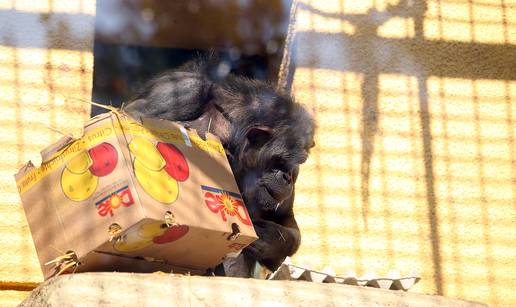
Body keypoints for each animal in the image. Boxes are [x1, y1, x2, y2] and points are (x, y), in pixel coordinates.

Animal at [123, 56, 314, 276]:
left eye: (296, 162)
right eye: (280, 160)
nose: (287, 177)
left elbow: (289, 225)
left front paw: (268, 237)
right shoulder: (182, 90)